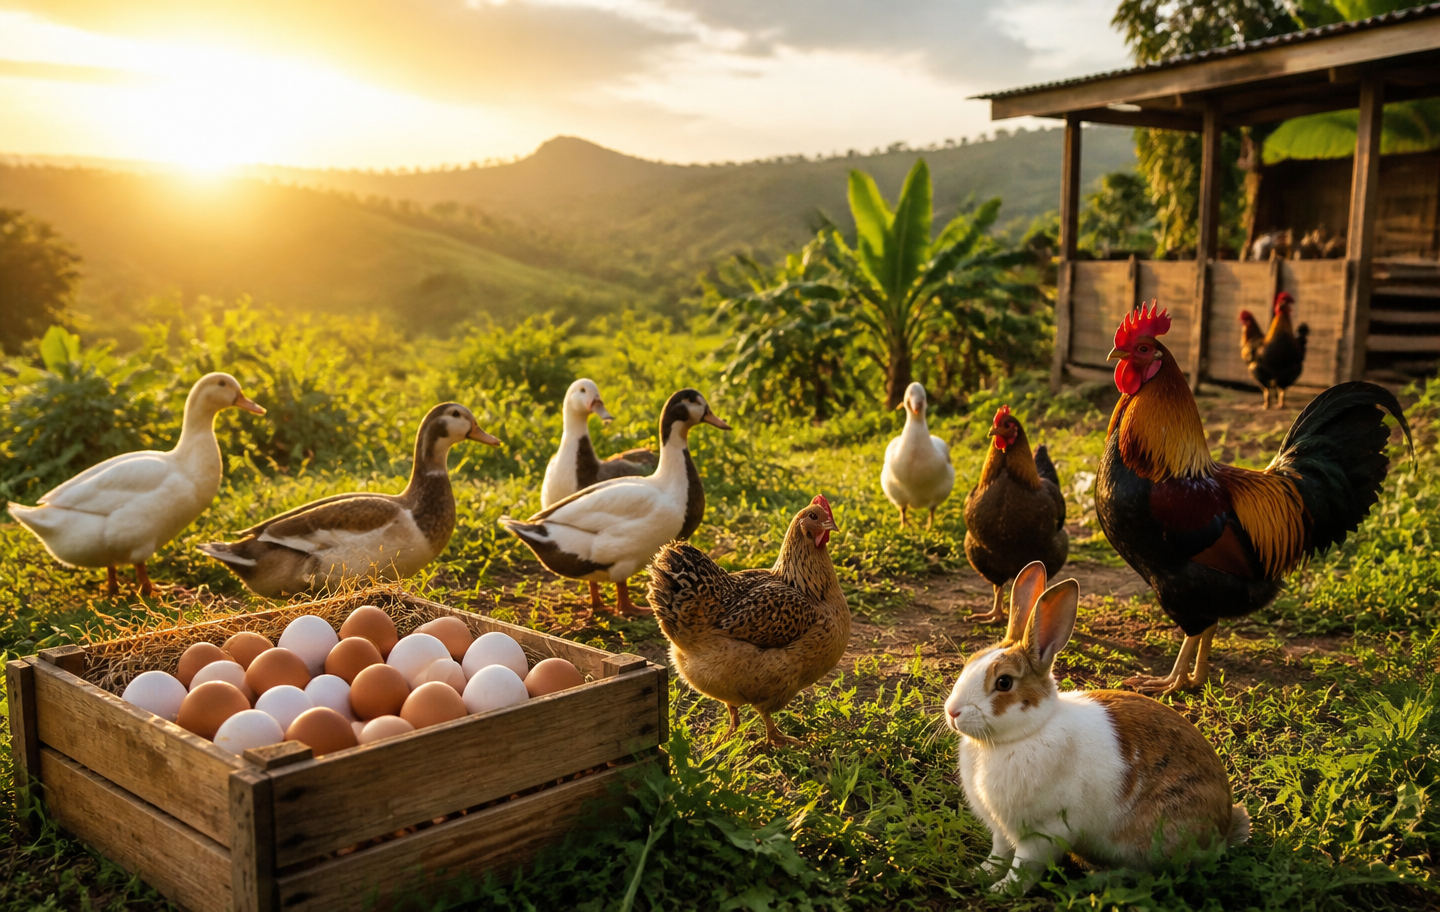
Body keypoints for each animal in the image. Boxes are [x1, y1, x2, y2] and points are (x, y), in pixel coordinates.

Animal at [944, 561, 1249, 893]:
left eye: (1004, 683)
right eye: (970, 663)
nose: (952, 712)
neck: (1020, 736)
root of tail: (1222, 830)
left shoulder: (1044, 831)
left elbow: (1024, 867)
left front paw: (1002, 891)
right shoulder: (1001, 829)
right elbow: (998, 855)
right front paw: (977, 874)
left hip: (1154, 840)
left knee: (1151, 875)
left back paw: (1094, 880)